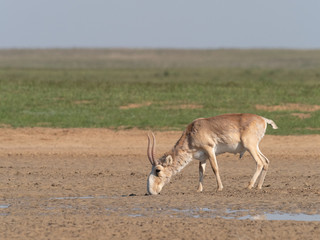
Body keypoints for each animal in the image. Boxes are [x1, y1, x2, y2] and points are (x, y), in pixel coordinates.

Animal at [146, 113, 276, 195]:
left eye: (157, 170)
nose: (151, 191)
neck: (191, 132)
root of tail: (264, 119)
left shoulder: (209, 149)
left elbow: (215, 168)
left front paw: (219, 188)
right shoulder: (202, 156)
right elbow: (201, 171)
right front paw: (199, 189)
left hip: (250, 146)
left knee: (260, 162)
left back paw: (249, 186)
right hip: (255, 147)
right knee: (266, 161)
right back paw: (258, 186)